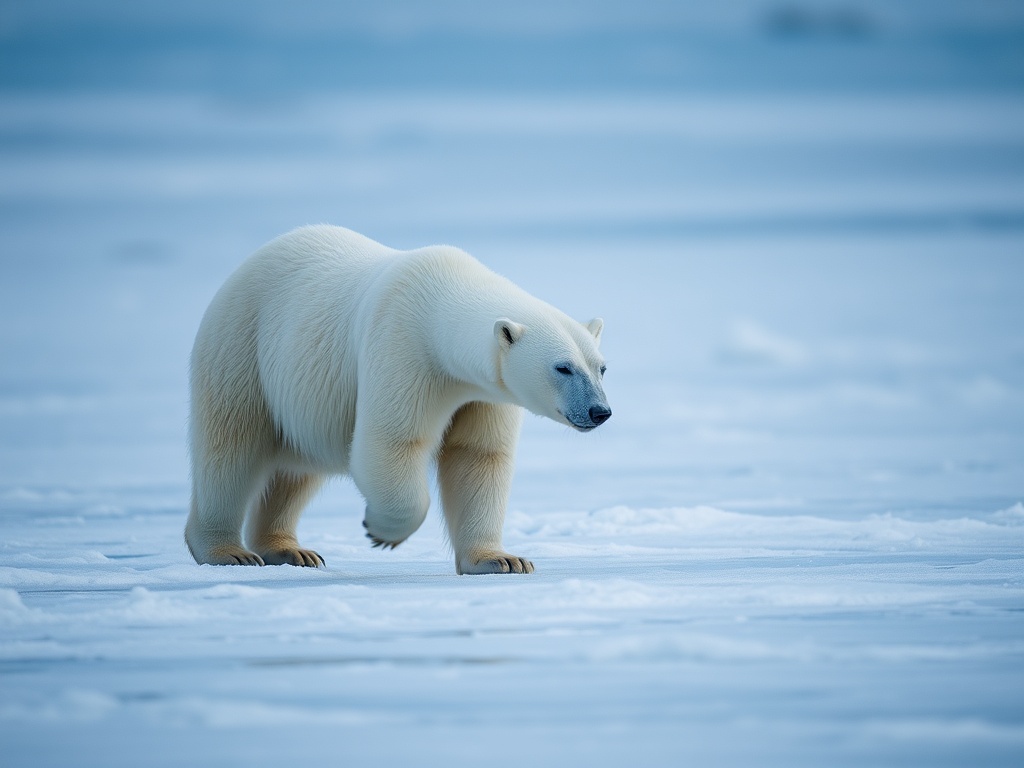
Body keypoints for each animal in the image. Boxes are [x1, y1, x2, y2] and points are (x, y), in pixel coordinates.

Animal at [184, 225, 611, 574]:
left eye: (601, 367)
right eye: (563, 368)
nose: (600, 411)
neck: (443, 296)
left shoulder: (483, 392)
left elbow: (478, 455)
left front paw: (503, 560)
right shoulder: (403, 346)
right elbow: (391, 440)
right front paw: (382, 531)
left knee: (296, 468)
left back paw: (290, 550)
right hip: (242, 346)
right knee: (231, 448)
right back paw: (227, 551)